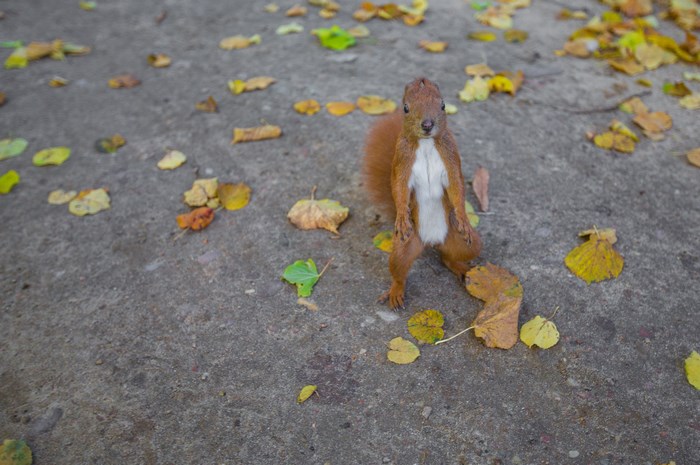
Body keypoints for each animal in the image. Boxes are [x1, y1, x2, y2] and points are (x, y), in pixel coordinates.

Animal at [362, 77, 482, 310]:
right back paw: (395, 291)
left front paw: (463, 216)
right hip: (403, 247)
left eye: (443, 105)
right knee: (399, 270)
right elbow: (399, 188)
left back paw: (461, 268)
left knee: (448, 257)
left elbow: (456, 186)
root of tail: (431, 241)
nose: (427, 125)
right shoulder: (402, 160)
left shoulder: (451, 155)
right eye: (405, 108)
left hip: (466, 243)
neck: (426, 144)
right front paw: (402, 215)